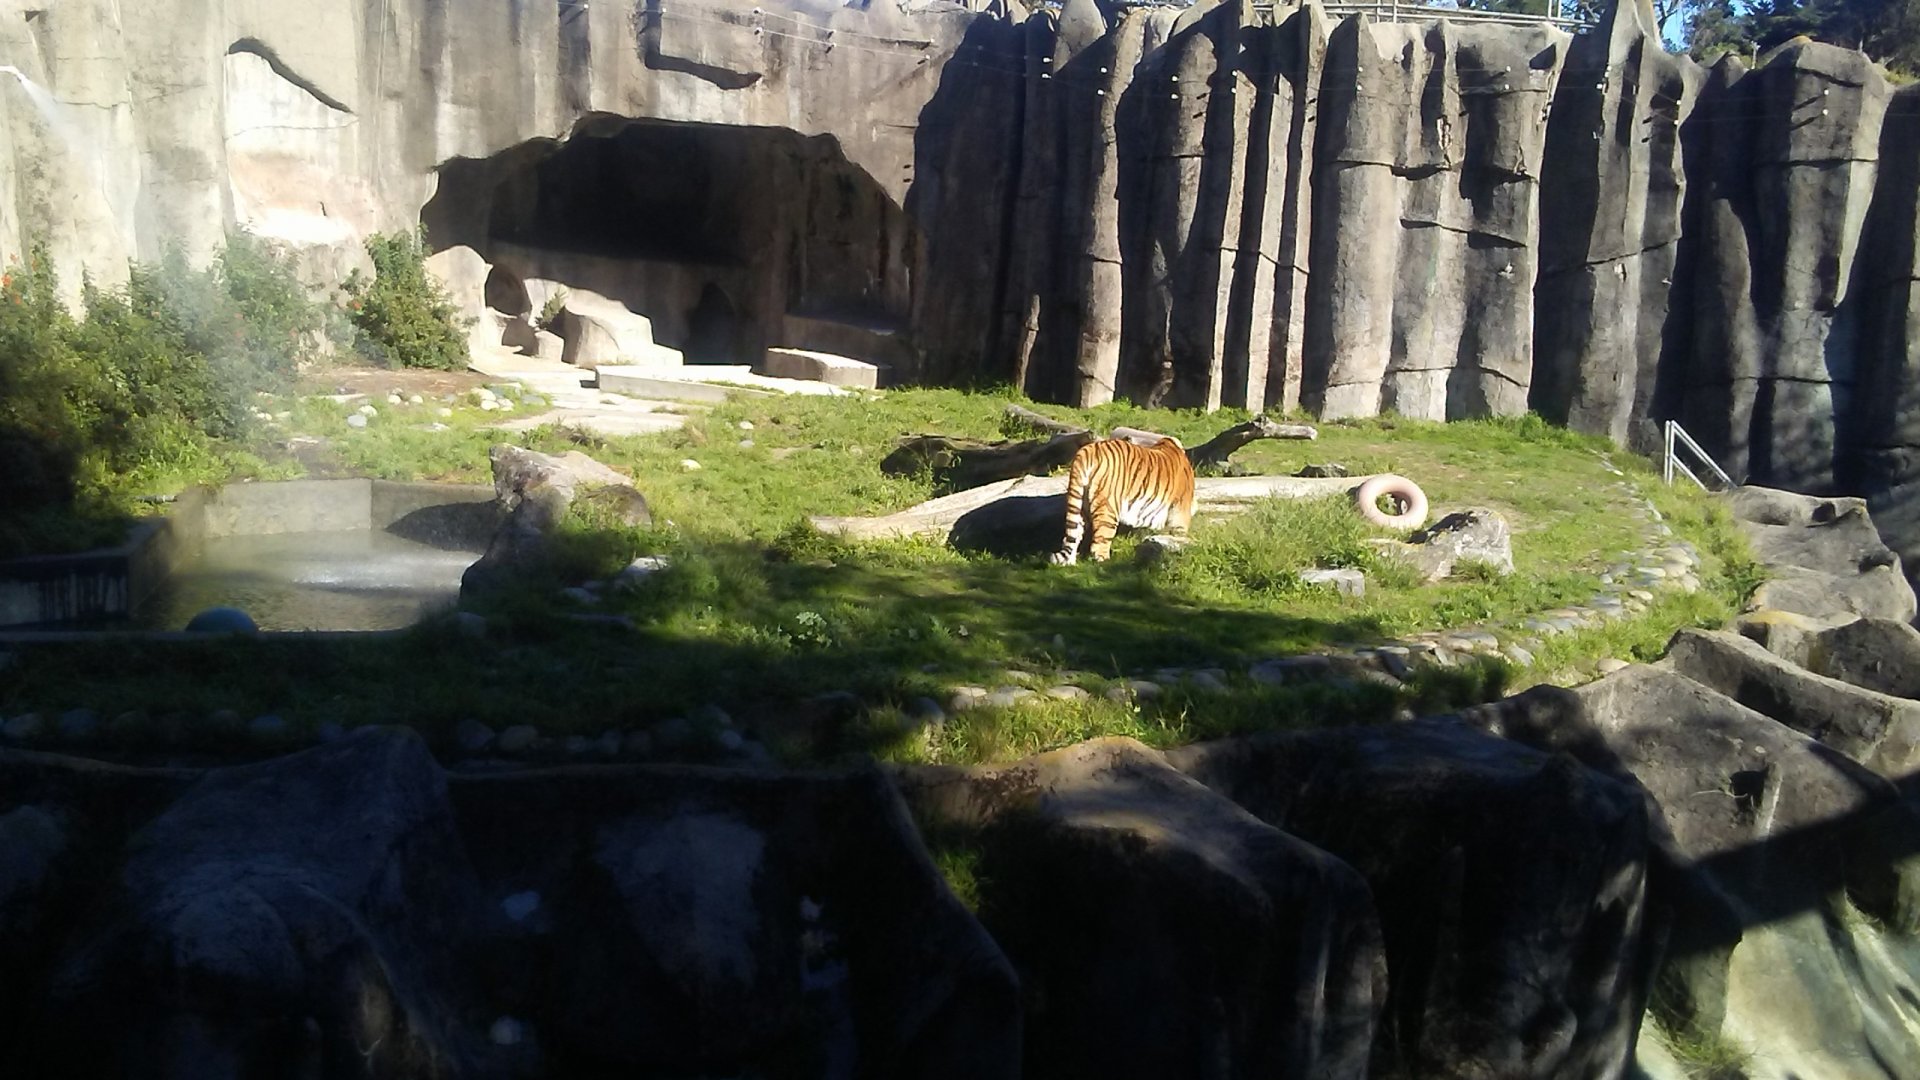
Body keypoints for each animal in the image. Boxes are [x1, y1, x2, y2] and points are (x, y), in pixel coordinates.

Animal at [1050, 435, 1196, 565]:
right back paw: (1106, 564)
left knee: (1071, 538)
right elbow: (1179, 530)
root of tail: (1087, 451)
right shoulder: (1180, 508)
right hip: (1108, 508)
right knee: (1099, 544)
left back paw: (1070, 564)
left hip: (1080, 506)